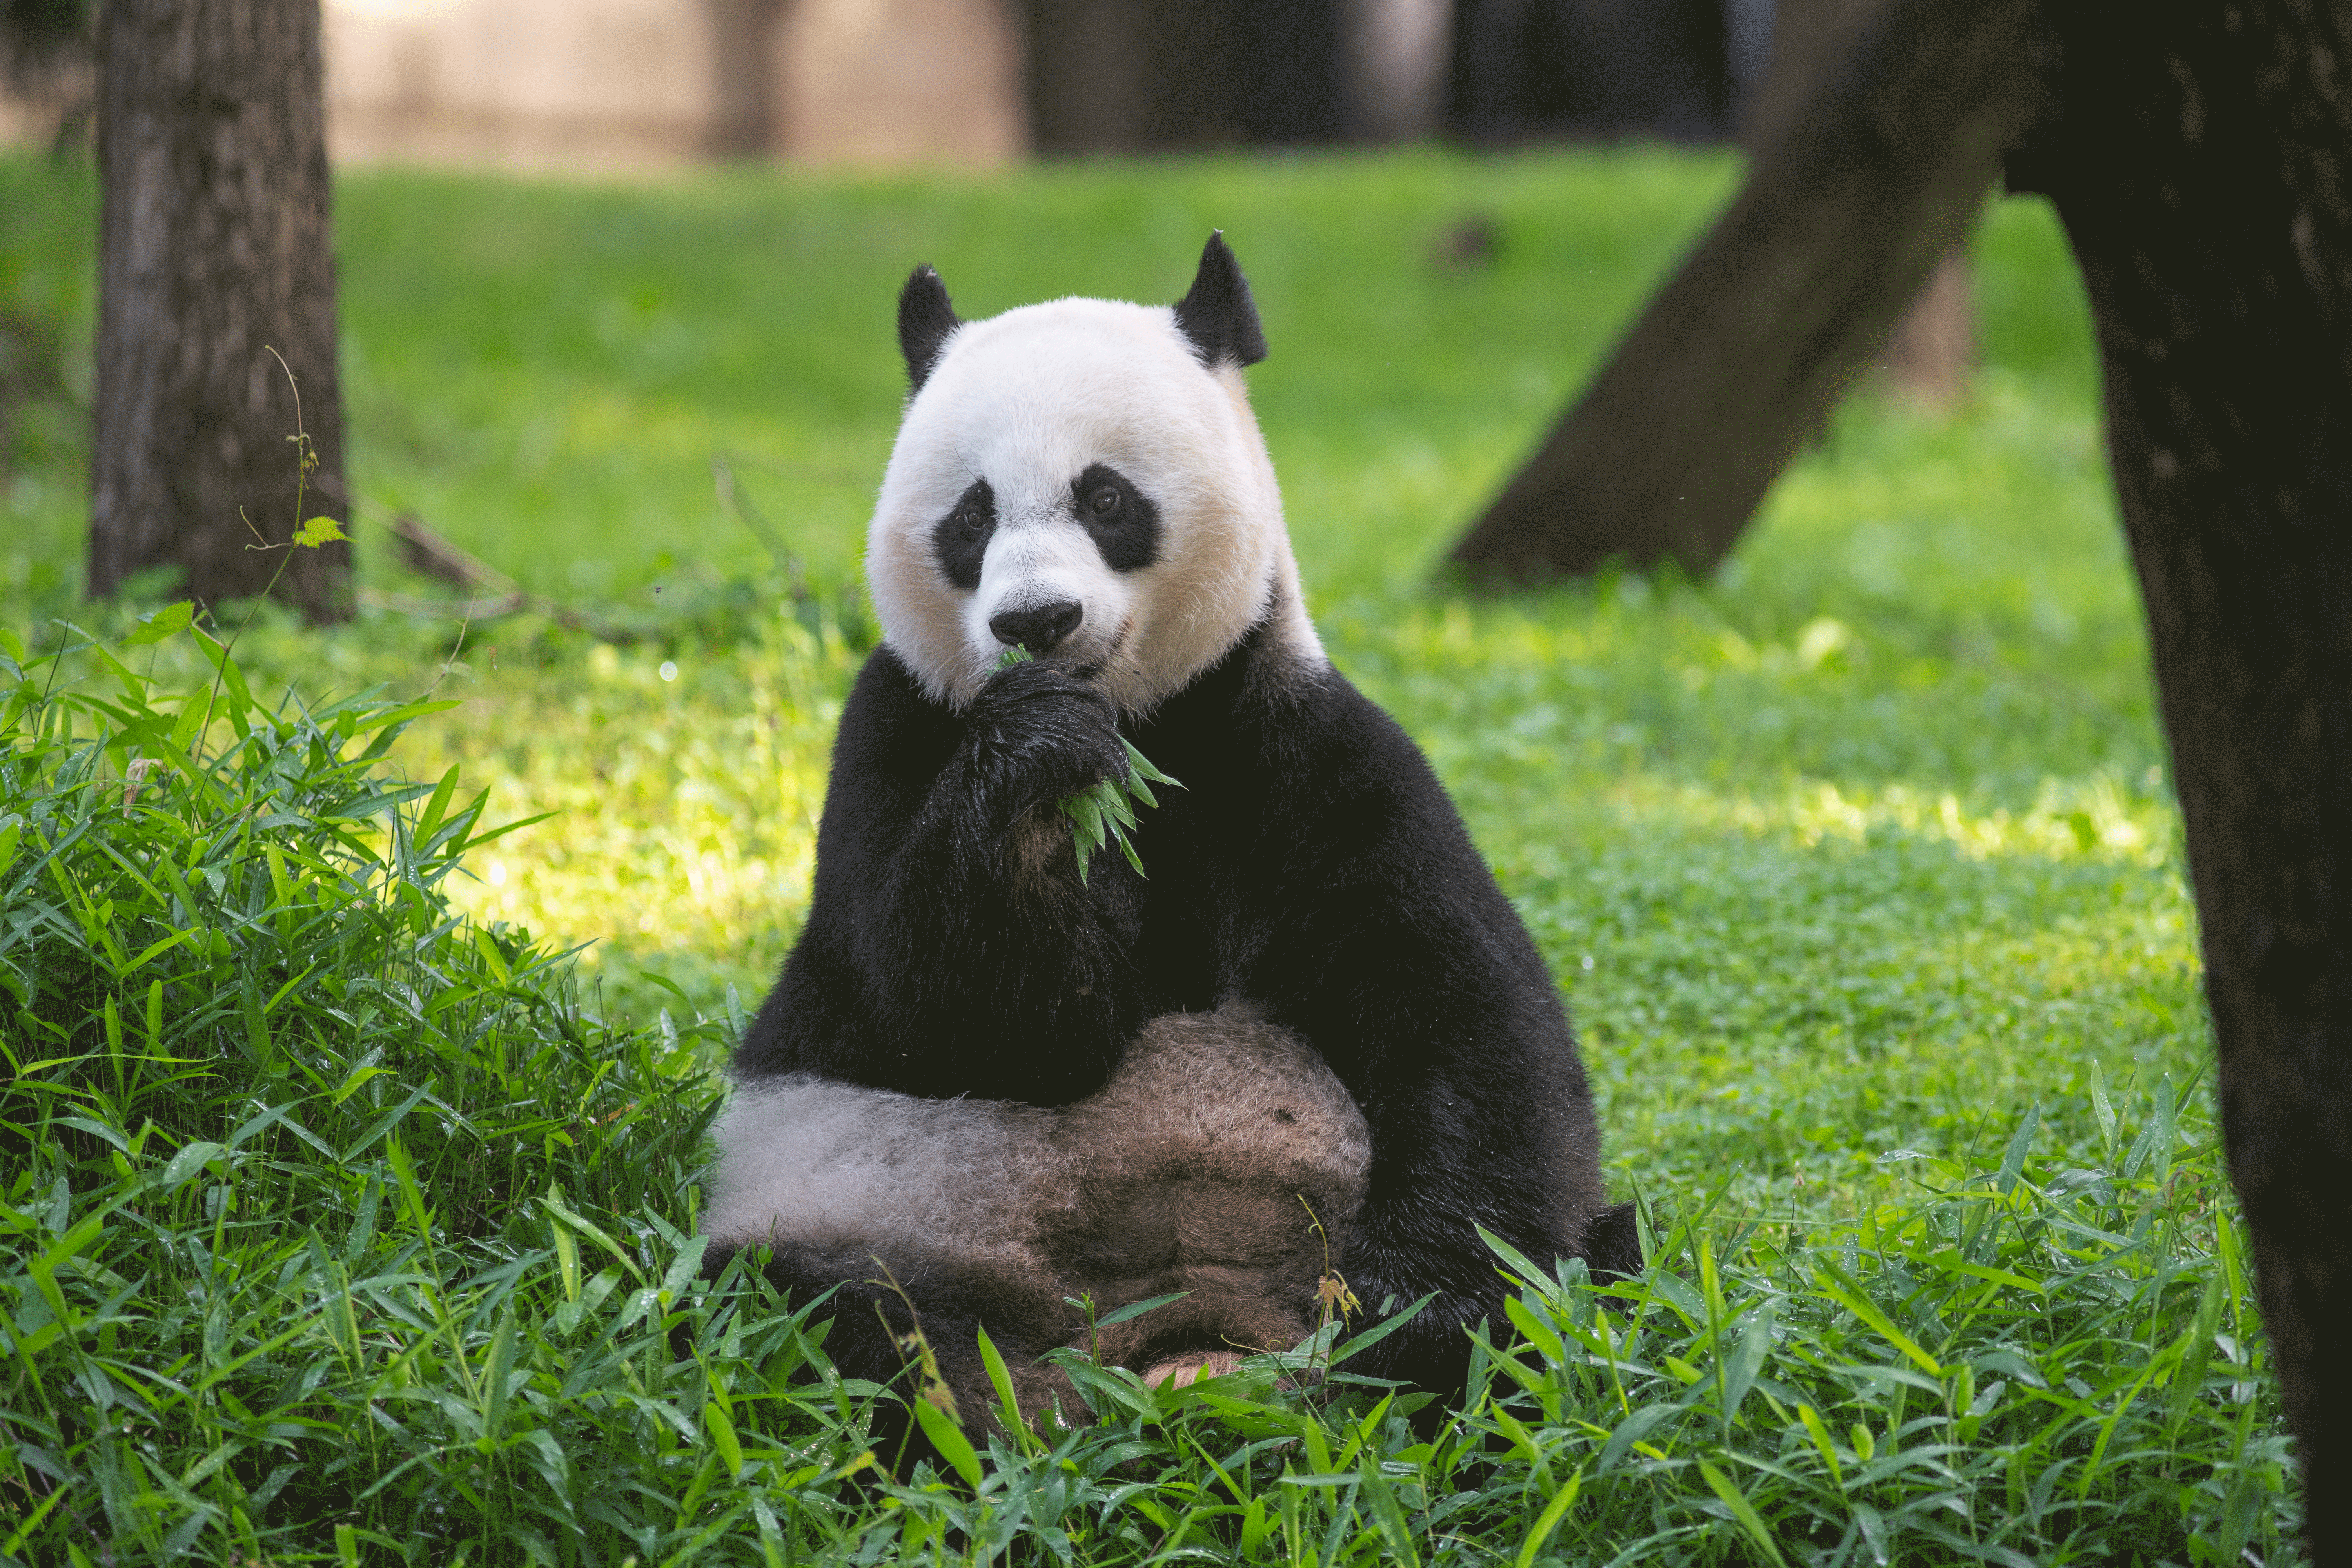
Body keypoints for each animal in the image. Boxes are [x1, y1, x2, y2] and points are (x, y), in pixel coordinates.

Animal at [710, 232, 1637, 1420]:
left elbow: (1458, 1010)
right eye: (971, 517)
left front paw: (1425, 1313)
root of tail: (1176, 1340)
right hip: (855, 1213)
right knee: (830, 1319)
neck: (1146, 720)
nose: (1036, 622)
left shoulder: (1298, 749)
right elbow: (966, 1021)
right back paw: (982, 1409)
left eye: (1106, 497)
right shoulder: (891, 736)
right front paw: (1043, 772)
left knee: (1604, 1258)